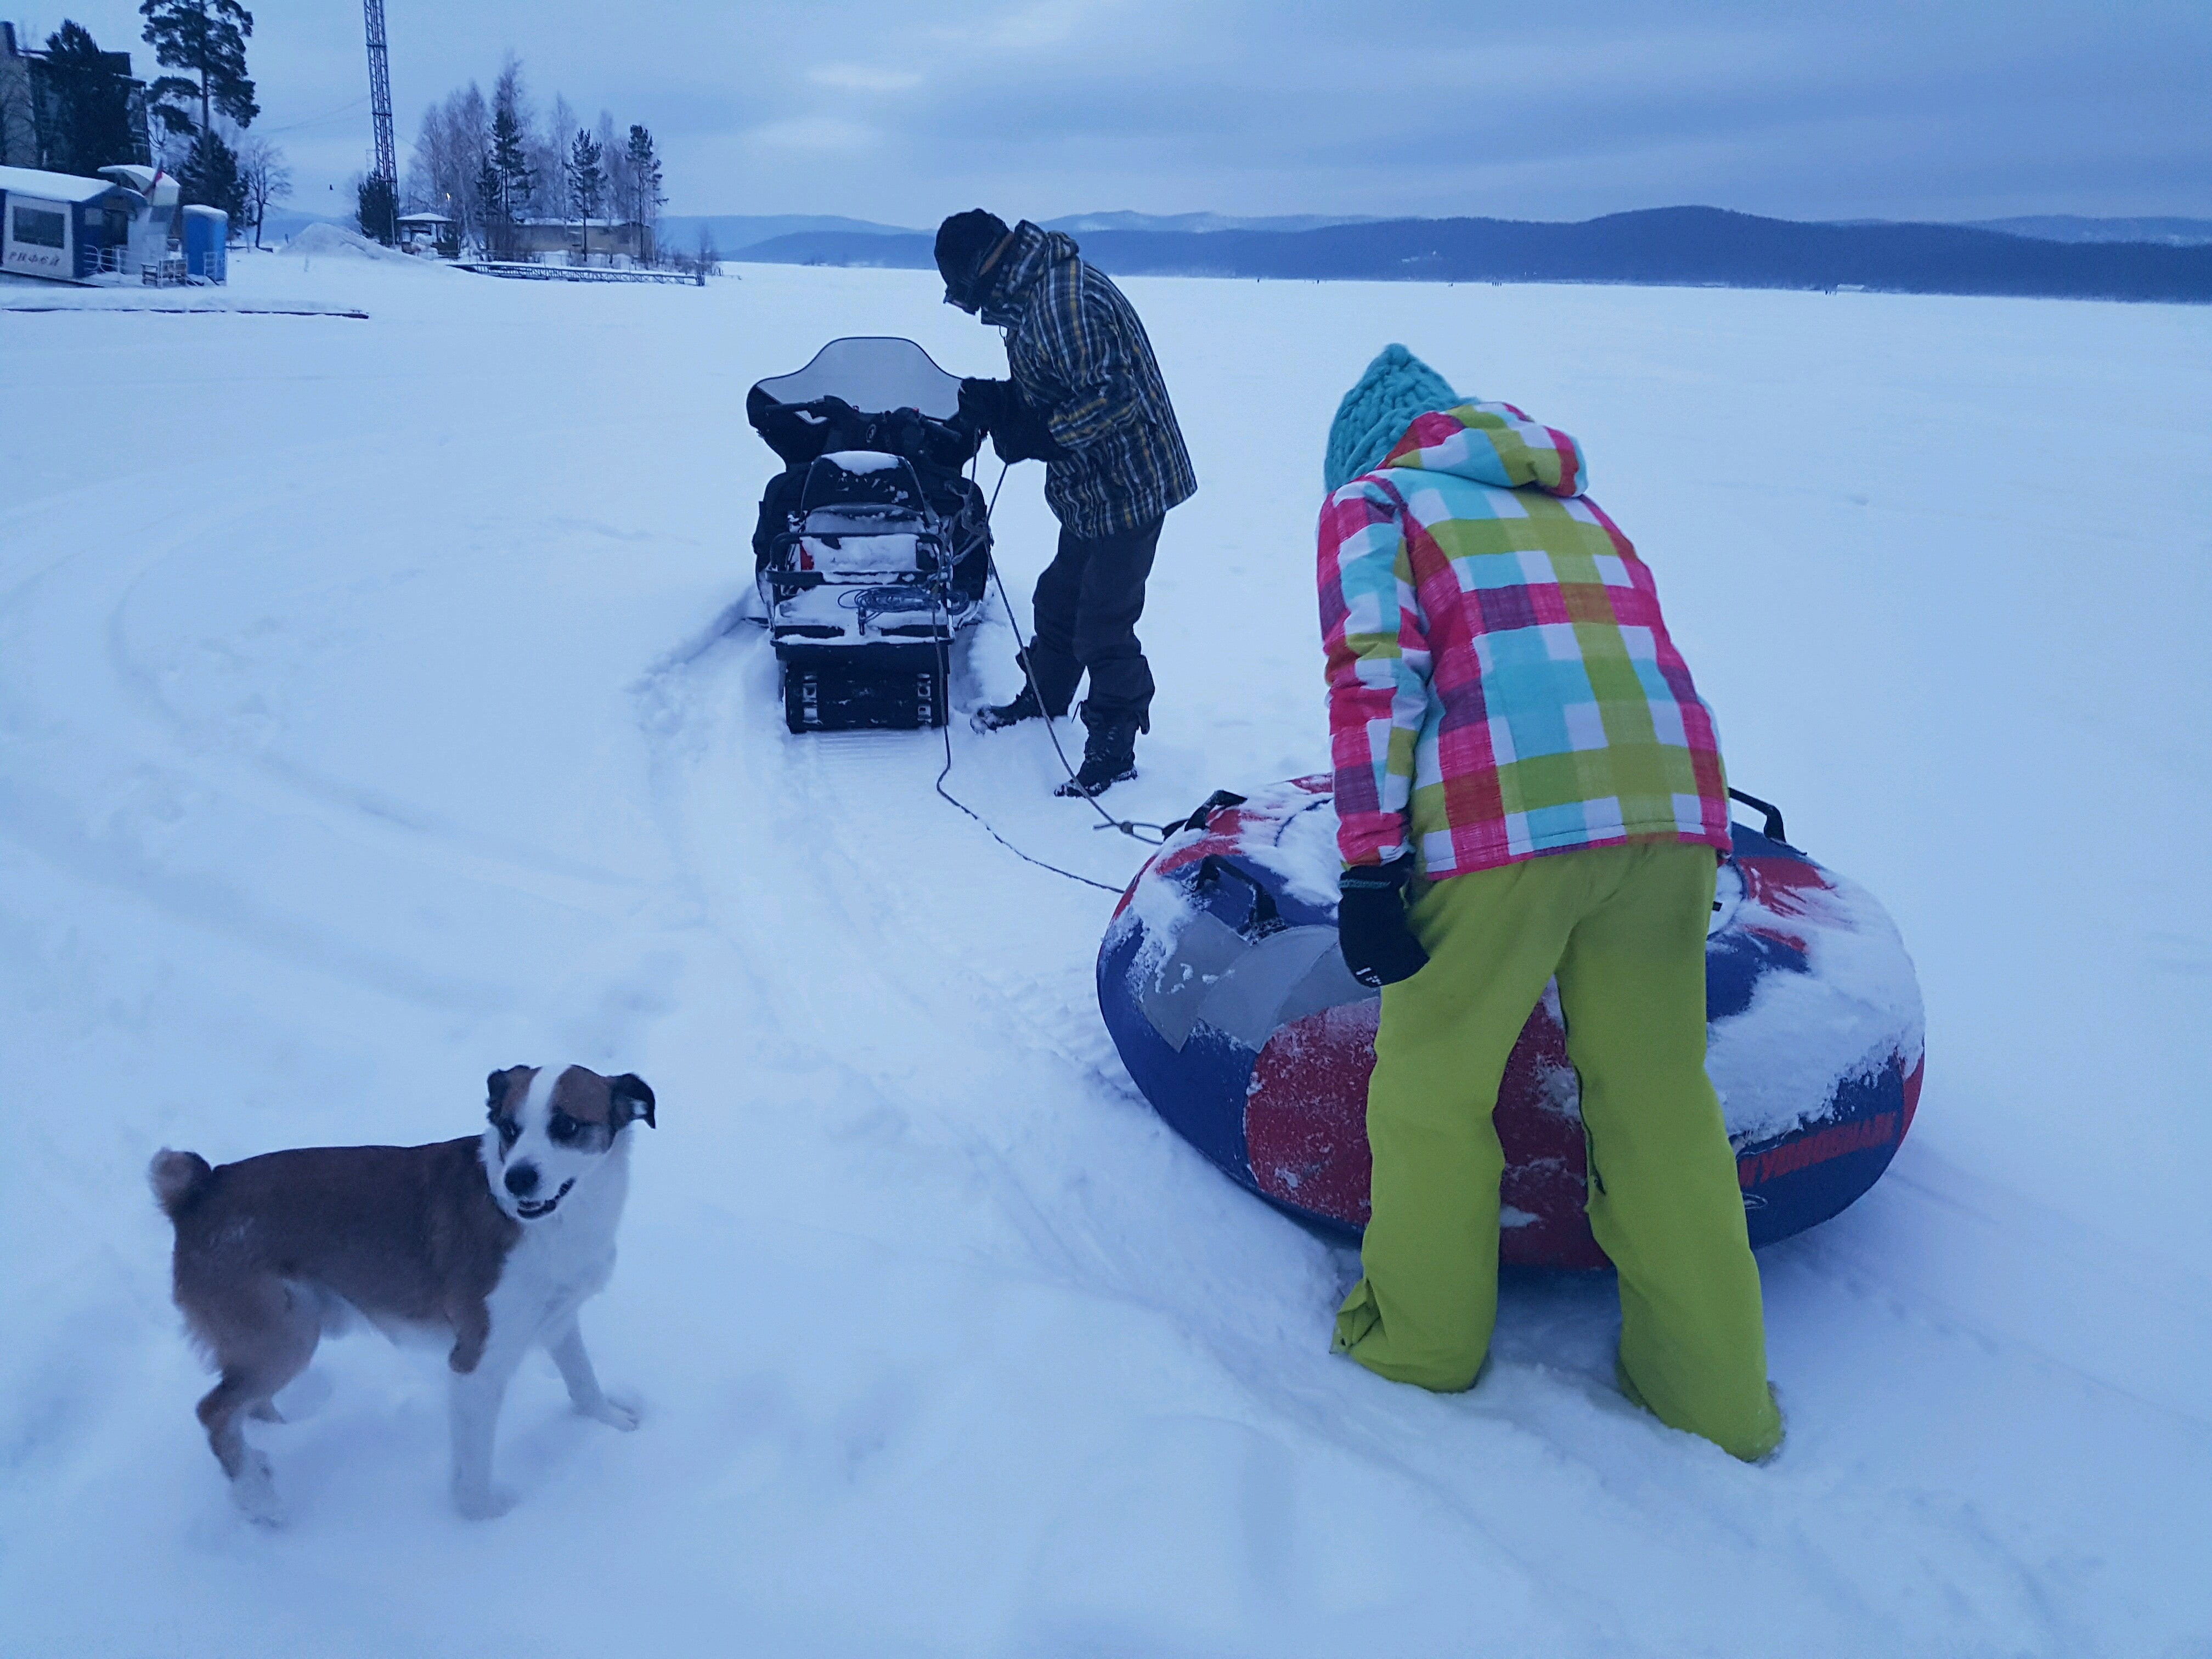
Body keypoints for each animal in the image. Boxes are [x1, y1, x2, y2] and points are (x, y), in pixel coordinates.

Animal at [149, 1070, 654, 1531]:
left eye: (566, 1125)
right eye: (509, 1128)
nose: (518, 1179)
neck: (555, 1222)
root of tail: (199, 1191)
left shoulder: (558, 1318)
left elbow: (583, 1382)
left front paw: (609, 1422)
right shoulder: (476, 1365)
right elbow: (474, 1468)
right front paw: (486, 1525)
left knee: (247, 1407)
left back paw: (265, 1457)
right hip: (286, 1336)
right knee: (214, 1411)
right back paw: (258, 1500)